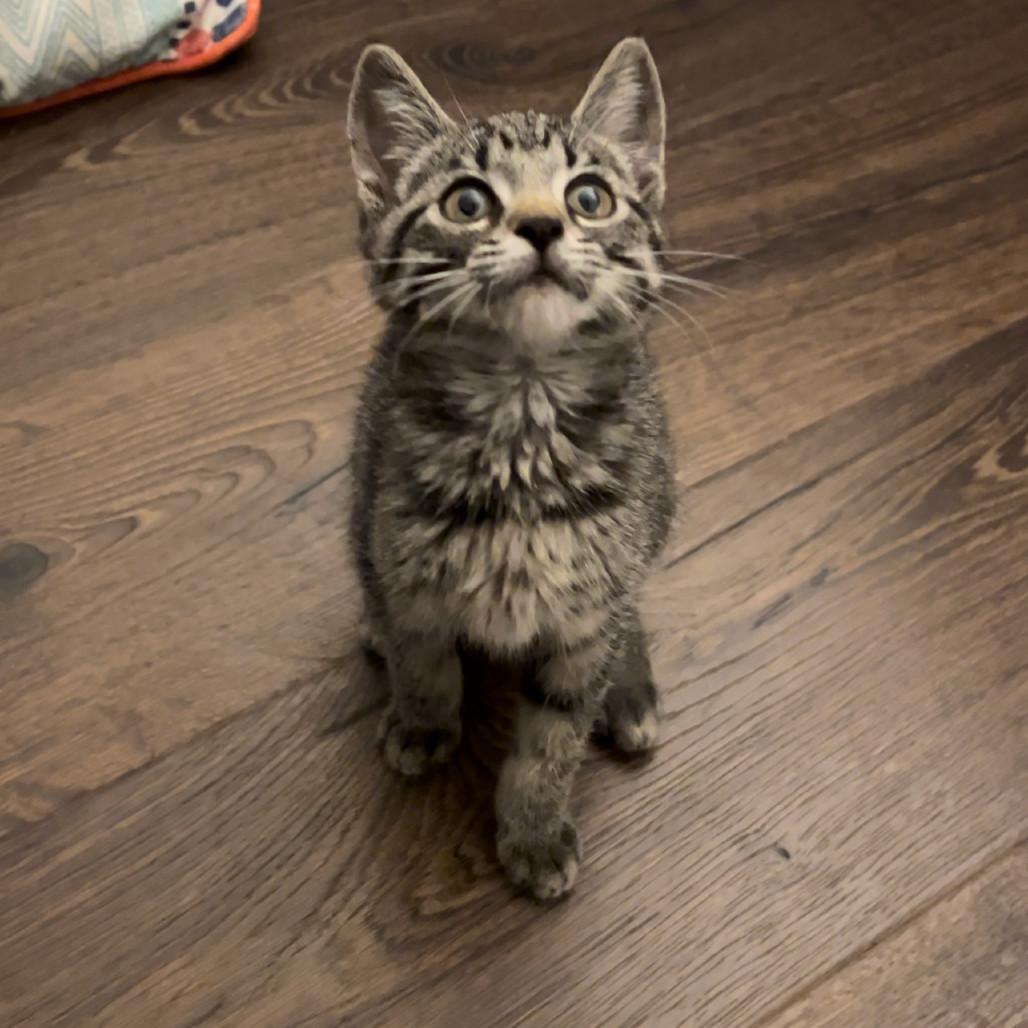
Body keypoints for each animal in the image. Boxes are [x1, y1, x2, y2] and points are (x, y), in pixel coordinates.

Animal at [349, 38, 678, 900]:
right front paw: (424, 722)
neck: (522, 419)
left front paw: (532, 827)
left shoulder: (591, 606)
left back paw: (629, 687)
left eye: (590, 197)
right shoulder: (402, 565)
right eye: (466, 203)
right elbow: (424, 661)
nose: (540, 225)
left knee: (631, 608)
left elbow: (554, 734)